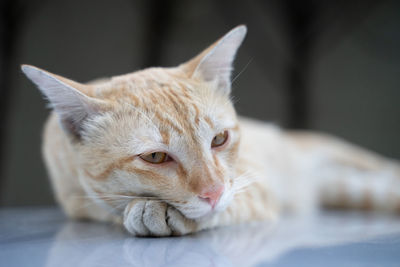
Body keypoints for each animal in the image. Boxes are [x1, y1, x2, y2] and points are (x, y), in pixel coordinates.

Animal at [21, 26, 400, 238]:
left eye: (219, 139)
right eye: (155, 156)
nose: (214, 192)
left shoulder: (253, 185)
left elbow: (231, 206)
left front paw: (155, 213)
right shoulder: (76, 199)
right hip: (351, 189)